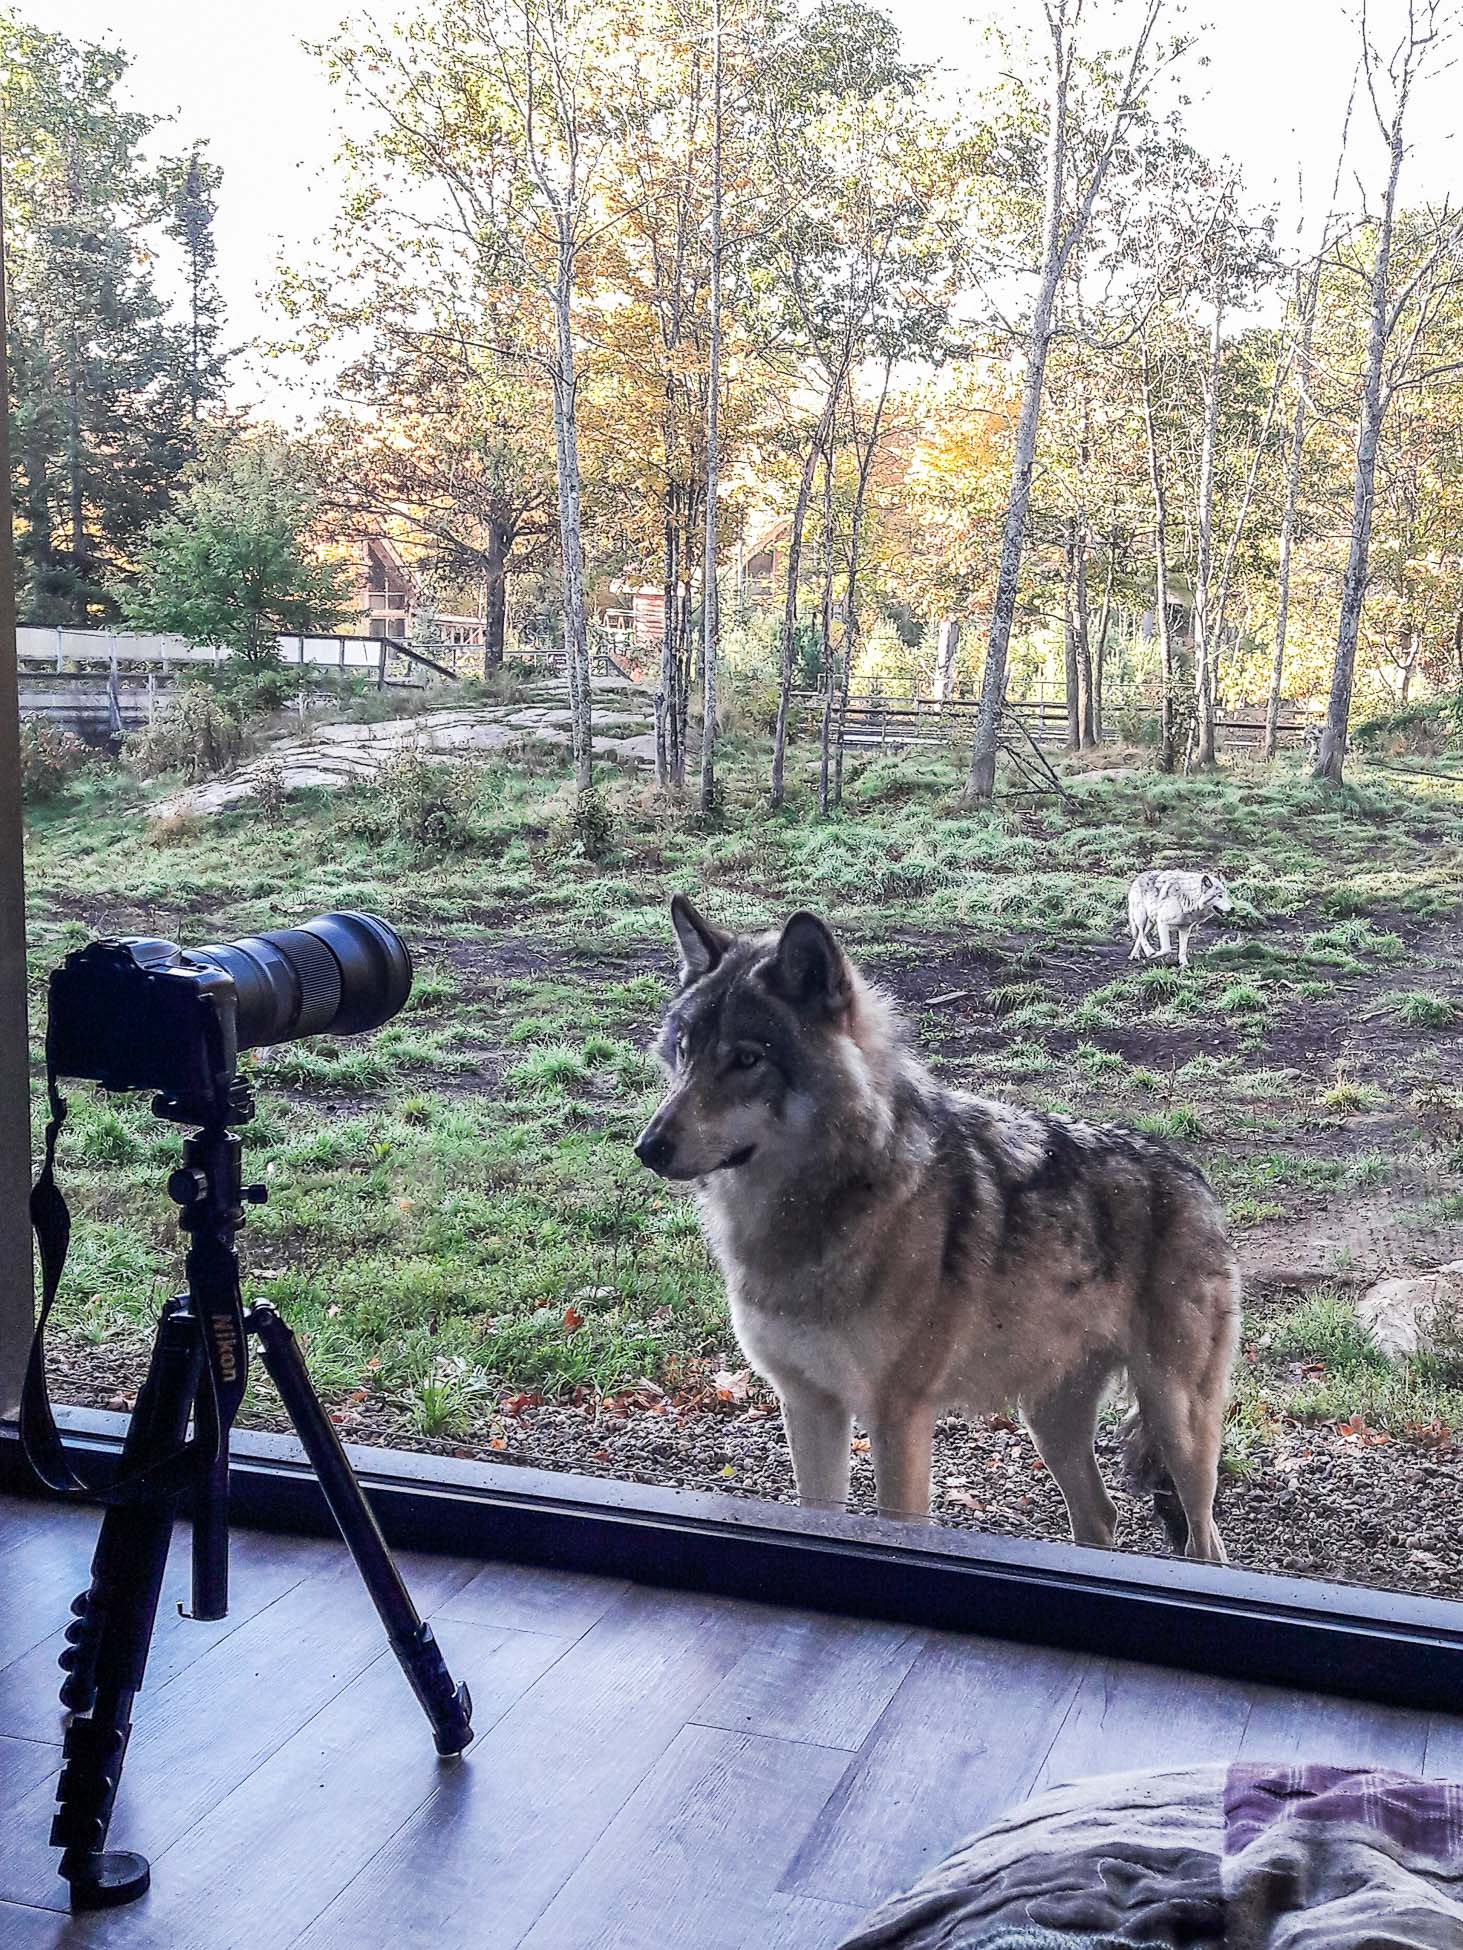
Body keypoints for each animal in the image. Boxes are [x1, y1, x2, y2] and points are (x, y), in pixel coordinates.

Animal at [635, 893, 1240, 1552]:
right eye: (685, 1050)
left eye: (746, 1059)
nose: (648, 1146)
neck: (816, 1213)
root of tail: (1195, 1176)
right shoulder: (808, 1405)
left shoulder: (899, 1420)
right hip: (1049, 1420)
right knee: (1101, 1516)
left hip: (1180, 1428)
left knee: (1205, 1540)